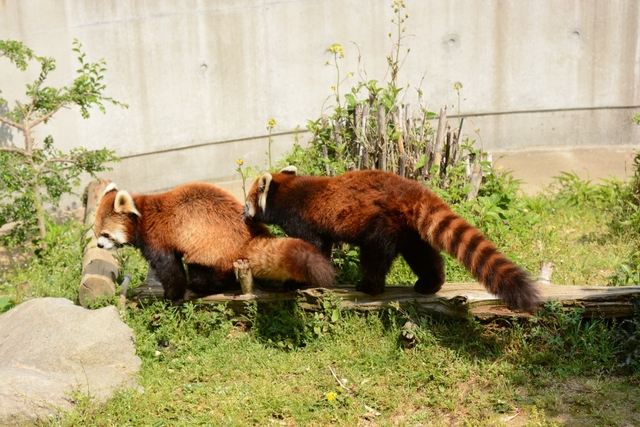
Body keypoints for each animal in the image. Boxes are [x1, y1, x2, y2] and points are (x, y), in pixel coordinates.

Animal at [95, 182, 338, 306]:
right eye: (96, 233)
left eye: (106, 234)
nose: (99, 246)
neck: (142, 215)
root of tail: (248, 238)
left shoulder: (157, 237)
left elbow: (169, 268)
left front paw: (173, 297)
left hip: (210, 249)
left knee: (204, 273)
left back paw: (197, 288)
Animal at [244, 168, 540, 314]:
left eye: (247, 202)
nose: (243, 214)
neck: (288, 192)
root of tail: (411, 189)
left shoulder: (303, 220)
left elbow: (312, 248)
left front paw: (297, 282)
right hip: (408, 229)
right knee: (422, 255)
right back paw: (430, 284)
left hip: (381, 223)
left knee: (375, 255)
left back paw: (369, 287)